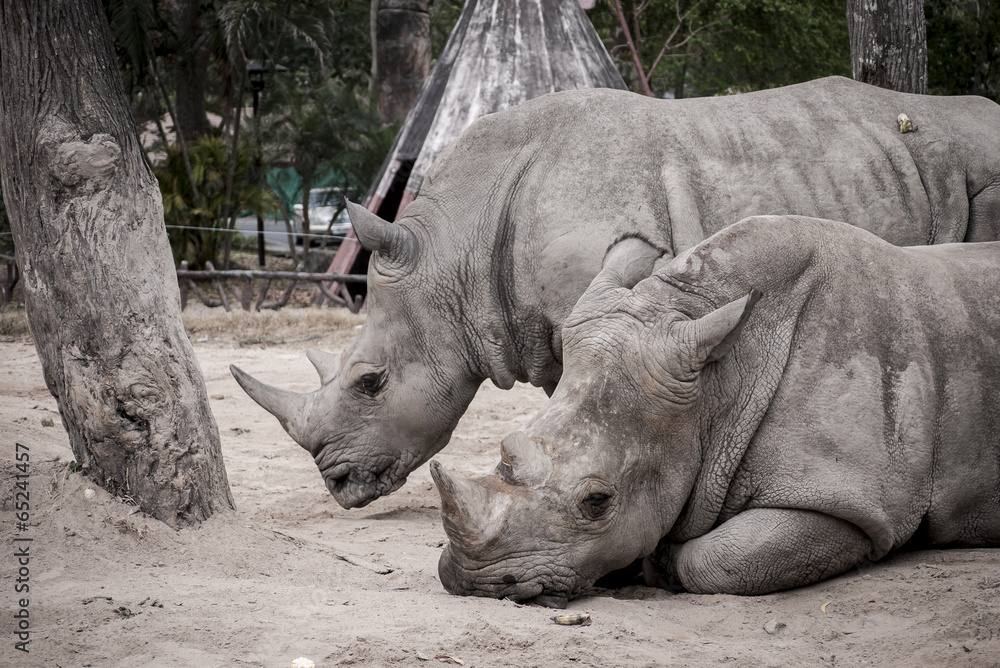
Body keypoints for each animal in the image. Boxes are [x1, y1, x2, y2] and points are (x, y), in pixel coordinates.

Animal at [430, 217, 1000, 607]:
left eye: (597, 501)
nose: (474, 583)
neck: (718, 391)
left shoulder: (853, 500)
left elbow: (719, 559)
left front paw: (663, 564)